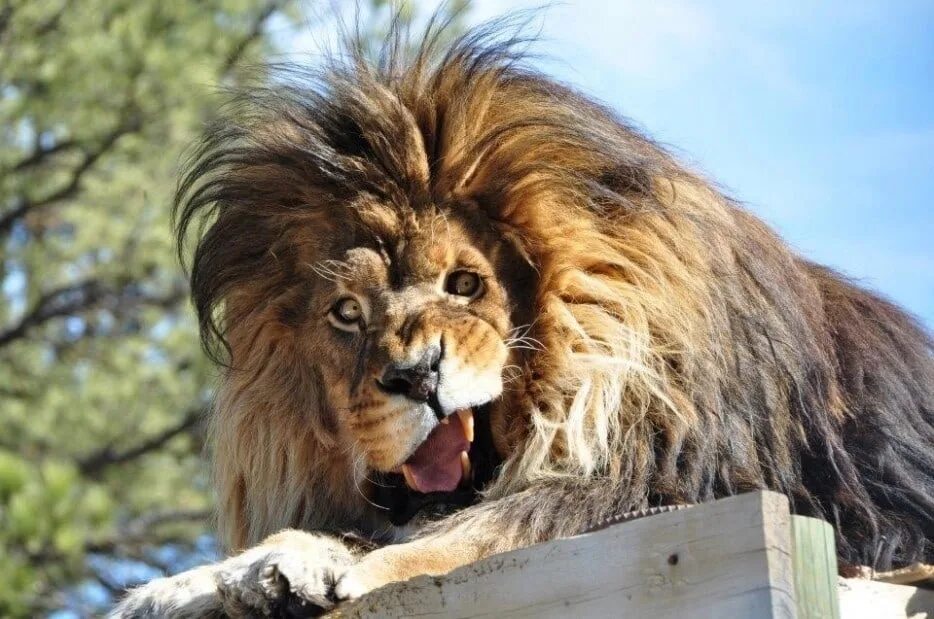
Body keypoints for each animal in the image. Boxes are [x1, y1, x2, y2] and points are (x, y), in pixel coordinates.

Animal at [113, 16, 934, 618]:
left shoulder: (661, 487)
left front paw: (304, 565)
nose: (418, 376)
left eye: (465, 282)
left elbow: (471, 537)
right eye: (346, 313)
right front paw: (191, 585)